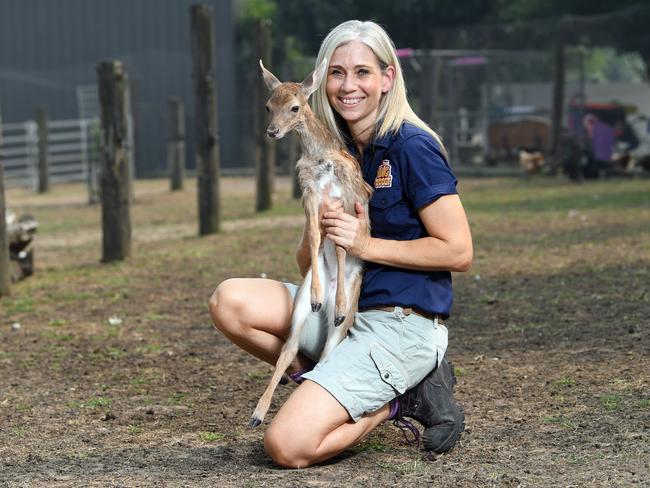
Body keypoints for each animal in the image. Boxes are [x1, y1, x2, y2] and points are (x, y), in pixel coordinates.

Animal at [249, 59, 370, 428]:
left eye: (295, 106)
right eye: (267, 105)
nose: (272, 131)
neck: (321, 159)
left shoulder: (347, 198)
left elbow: (342, 246)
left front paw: (340, 304)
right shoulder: (310, 194)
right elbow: (316, 238)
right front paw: (318, 296)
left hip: (348, 319)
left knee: (330, 351)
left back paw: (337, 306)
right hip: (297, 307)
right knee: (289, 348)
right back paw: (257, 414)